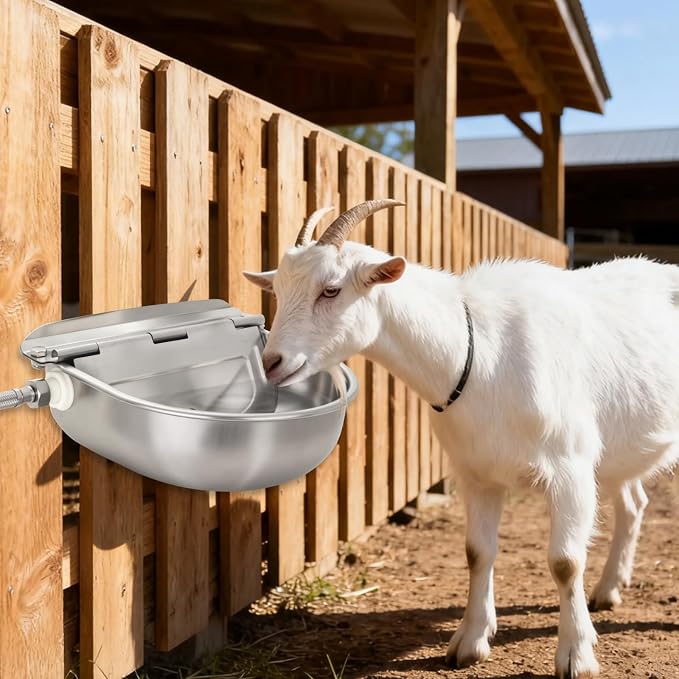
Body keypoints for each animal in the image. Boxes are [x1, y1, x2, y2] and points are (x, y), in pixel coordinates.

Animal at [244, 200, 679, 679]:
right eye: (278, 290)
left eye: (331, 290)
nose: (273, 362)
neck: (479, 352)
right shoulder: (476, 472)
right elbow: (477, 552)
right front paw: (469, 642)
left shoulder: (570, 466)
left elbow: (565, 562)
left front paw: (576, 656)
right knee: (634, 503)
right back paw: (608, 589)